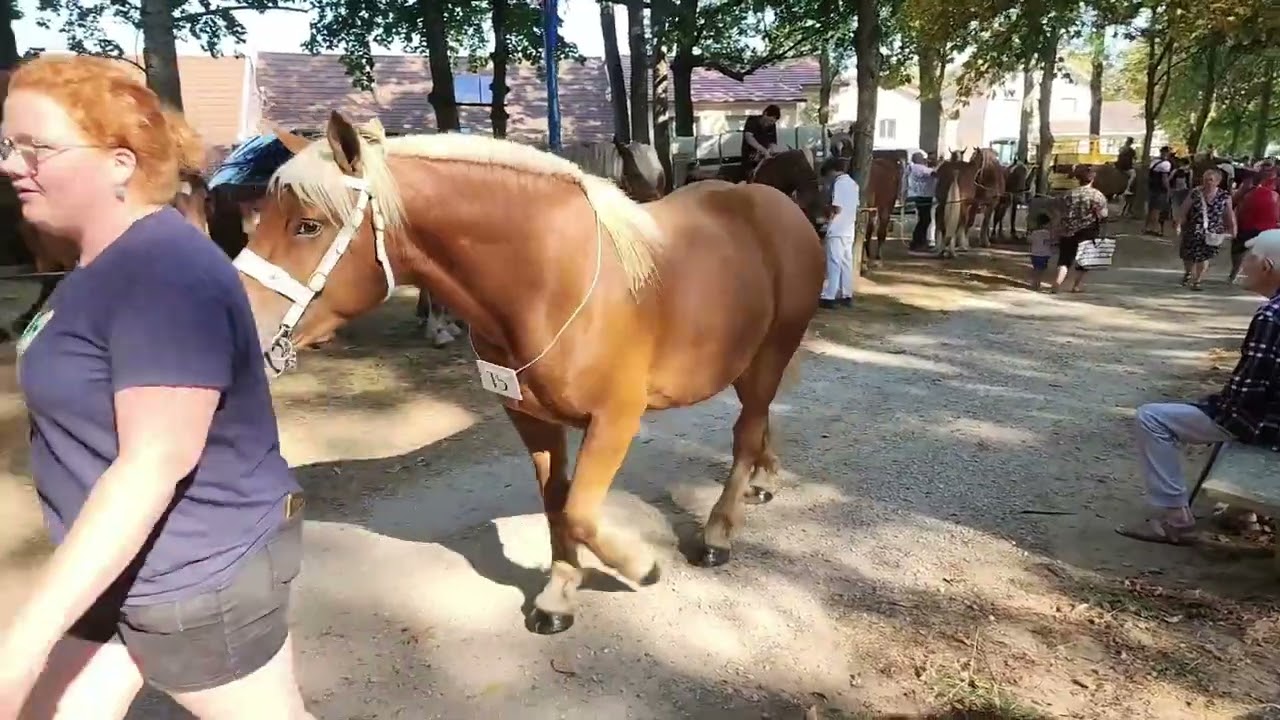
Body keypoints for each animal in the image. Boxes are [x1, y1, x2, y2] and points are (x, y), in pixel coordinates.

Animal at [237, 111, 825, 635]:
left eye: (308, 225)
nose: (243, 325)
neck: (547, 277)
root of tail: (778, 205)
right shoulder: (530, 417)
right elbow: (555, 505)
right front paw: (560, 594)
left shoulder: (616, 419)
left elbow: (581, 512)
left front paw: (642, 567)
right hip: (751, 361)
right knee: (759, 421)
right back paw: (762, 482)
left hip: (771, 351)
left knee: (746, 433)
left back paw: (719, 532)